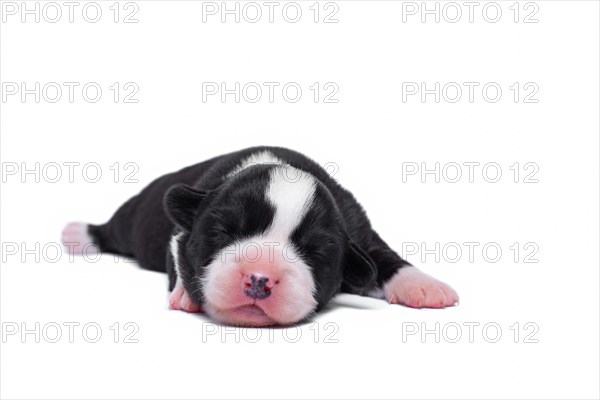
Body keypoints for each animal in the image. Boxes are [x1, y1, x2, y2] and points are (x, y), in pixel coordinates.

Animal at [61, 145, 458, 326]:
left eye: (315, 253)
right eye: (222, 232)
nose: (258, 279)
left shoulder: (357, 228)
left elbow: (384, 256)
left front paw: (423, 284)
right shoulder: (180, 231)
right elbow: (179, 255)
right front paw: (187, 294)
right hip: (138, 213)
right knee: (112, 228)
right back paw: (78, 234)